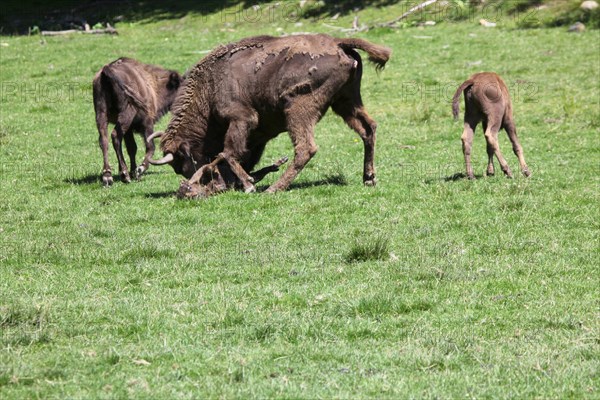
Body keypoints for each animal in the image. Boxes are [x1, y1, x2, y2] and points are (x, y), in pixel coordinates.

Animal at [93, 57, 183, 186]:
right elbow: (150, 146)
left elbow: (132, 148)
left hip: (101, 113)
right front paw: (139, 170)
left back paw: (108, 176)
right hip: (127, 113)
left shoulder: (129, 129)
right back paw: (124, 175)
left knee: (104, 141)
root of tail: (106, 70)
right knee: (115, 136)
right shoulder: (147, 123)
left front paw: (133, 171)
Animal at [150, 34, 392, 195]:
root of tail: (338, 42)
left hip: (298, 109)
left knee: (306, 148)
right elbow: (240, 154)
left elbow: (229, 152)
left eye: (182, 164)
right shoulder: (257, 134)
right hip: (346, 101)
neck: (209, 85)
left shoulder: (241, 119)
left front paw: (249, 185)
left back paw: (274, 189)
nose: (213, 184)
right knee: (368, 129)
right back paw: (369, 178)